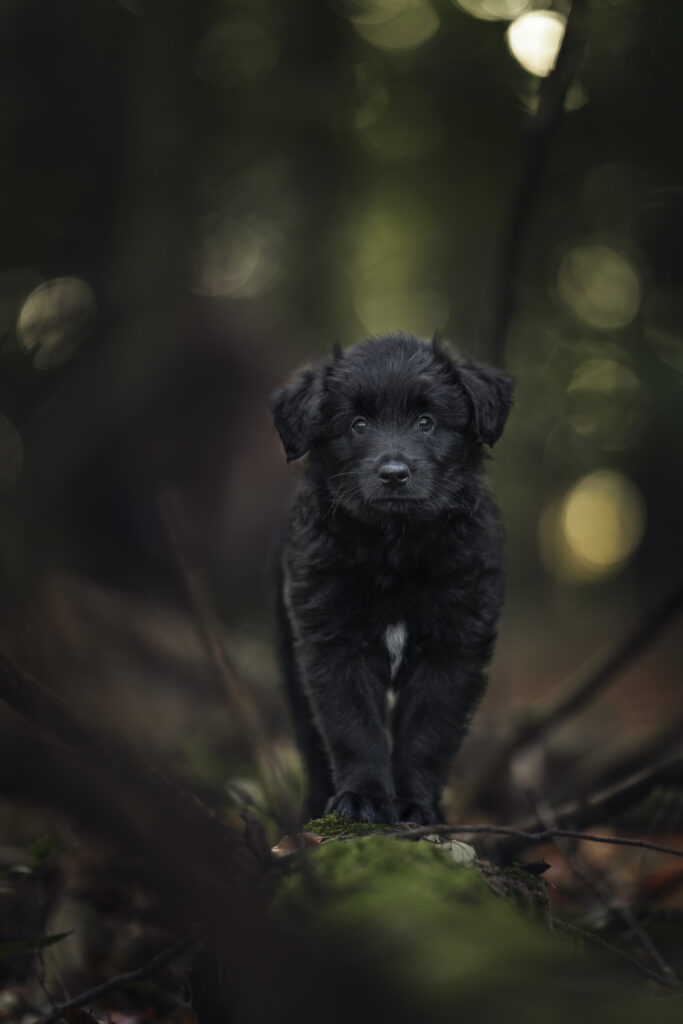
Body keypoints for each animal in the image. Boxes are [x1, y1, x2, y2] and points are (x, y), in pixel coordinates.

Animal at [270, 331, 509, 827]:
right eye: (358, 424)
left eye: (426, 421)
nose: (394, 474)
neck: (395, 548)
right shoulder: (333, 643)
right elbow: (353, 727)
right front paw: (363, 798)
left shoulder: (452, 650)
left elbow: (427, 736)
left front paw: (416, 807)